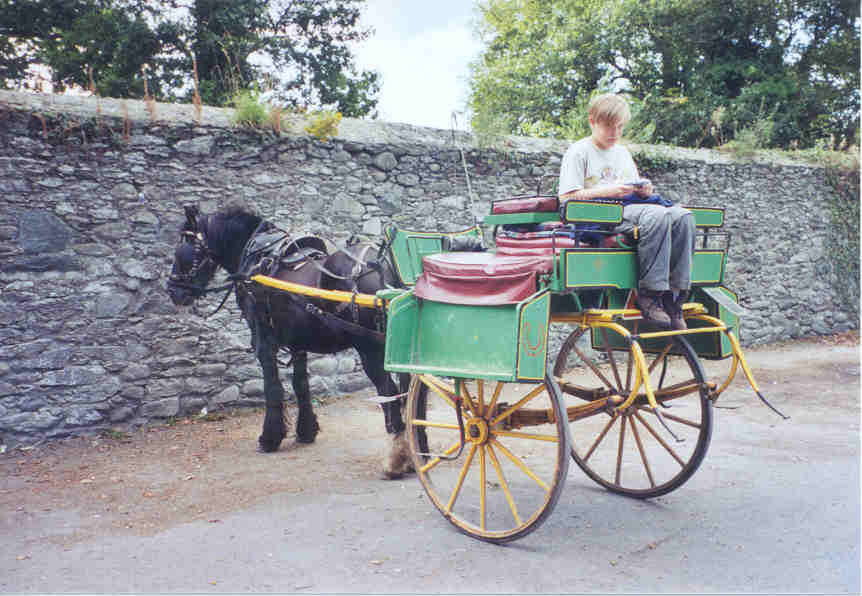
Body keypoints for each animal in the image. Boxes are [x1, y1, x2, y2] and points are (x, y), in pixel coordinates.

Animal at [169, 205, 416, 480]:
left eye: (183, 248)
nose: (173, 290)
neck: (256, 258)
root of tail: (384, 268)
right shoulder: (298, 341)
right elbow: (300, 384)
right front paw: (306, 431)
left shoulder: (263, 340)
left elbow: (272, 387)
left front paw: (269, 438)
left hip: (370, 350)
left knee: (390, 395)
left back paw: (396, 460)